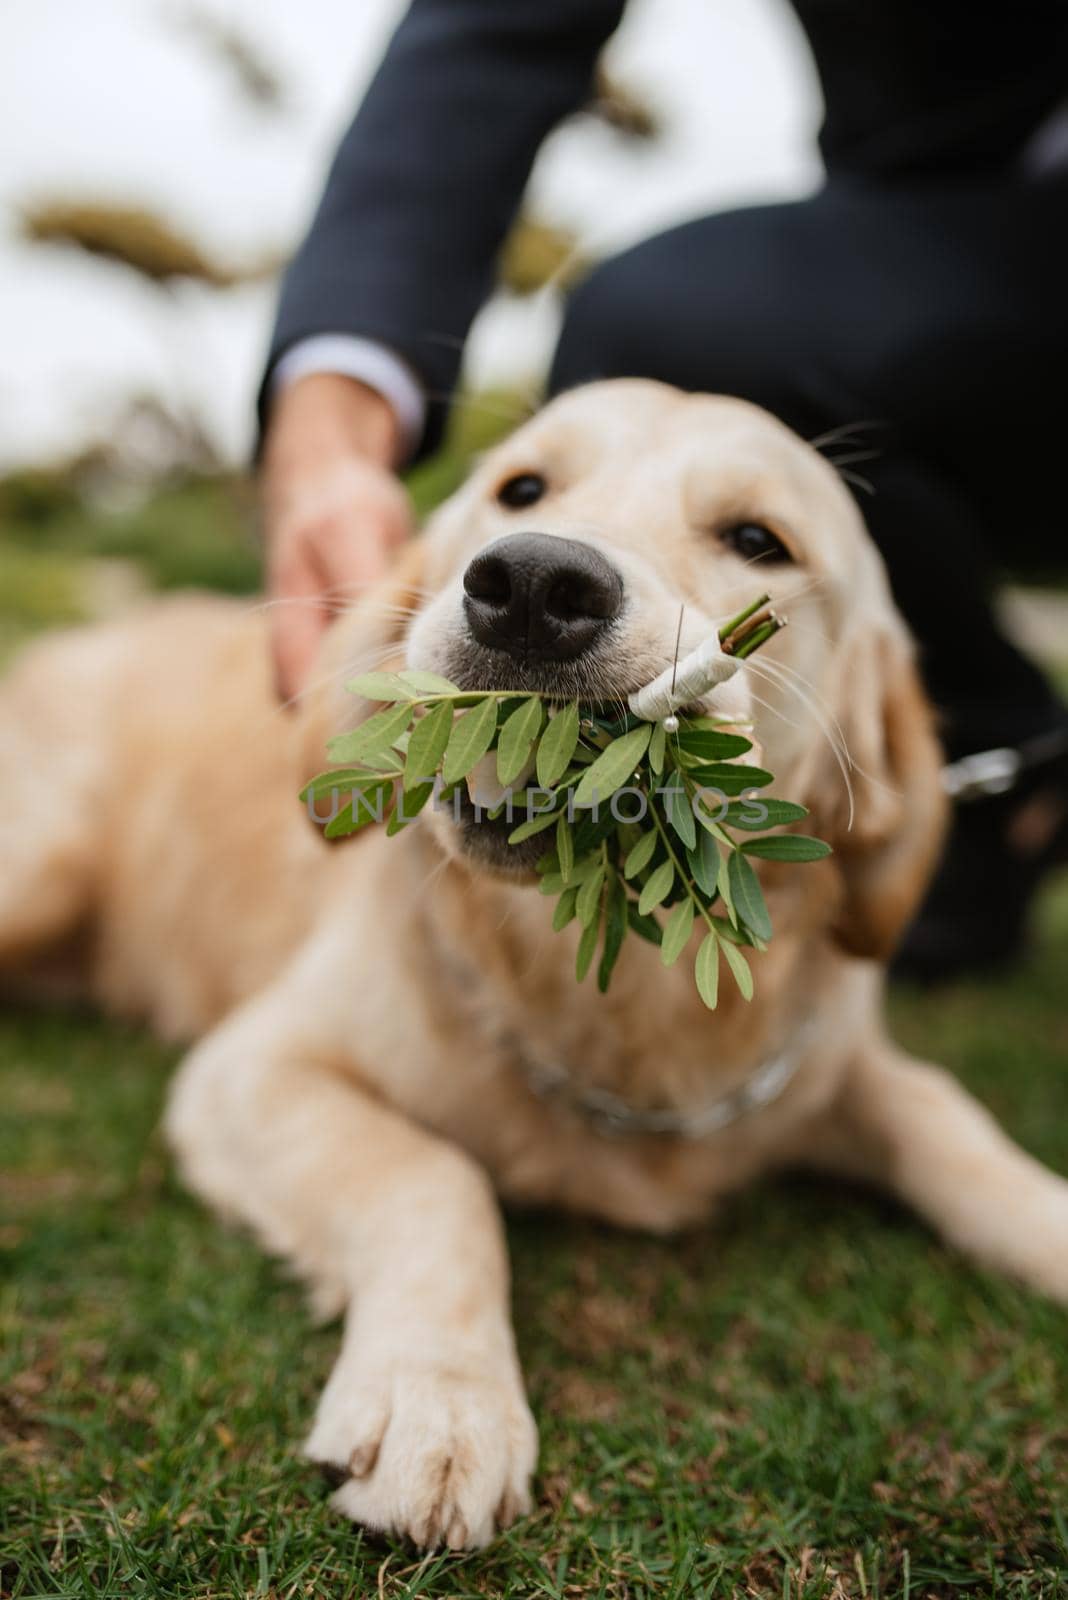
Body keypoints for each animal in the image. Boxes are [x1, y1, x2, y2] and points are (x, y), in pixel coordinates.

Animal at [2, 377, 1068, 1548]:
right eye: (522, 488)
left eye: (757, 539)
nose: (530, 585)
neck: (611, 994)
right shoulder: (249, 1070)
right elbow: (434, 1174)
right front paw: (439, 1399)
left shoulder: (825, 1060)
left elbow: (948, 1120)